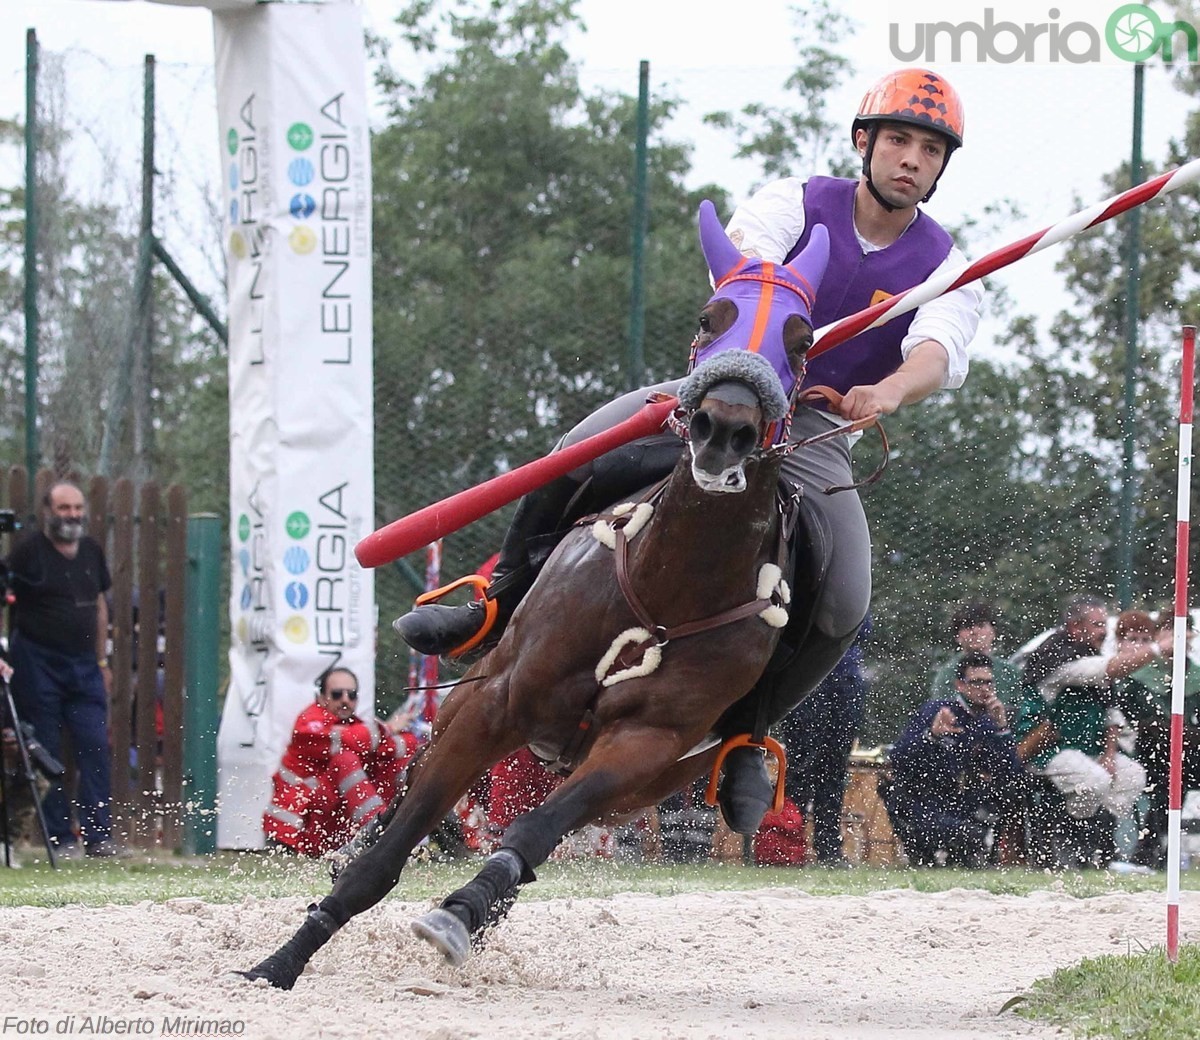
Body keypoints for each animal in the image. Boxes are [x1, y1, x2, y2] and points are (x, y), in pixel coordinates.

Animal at [237, 201, 830, 983]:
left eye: (801, 340)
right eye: (712, 317)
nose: (724, 428)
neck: (670, 584)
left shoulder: (642, 748)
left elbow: (534, 831)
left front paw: (462, 911)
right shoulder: (495, 704)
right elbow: (388, 854)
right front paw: (281, 962)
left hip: (629, 783)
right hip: (474, 700)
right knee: (408, 792)